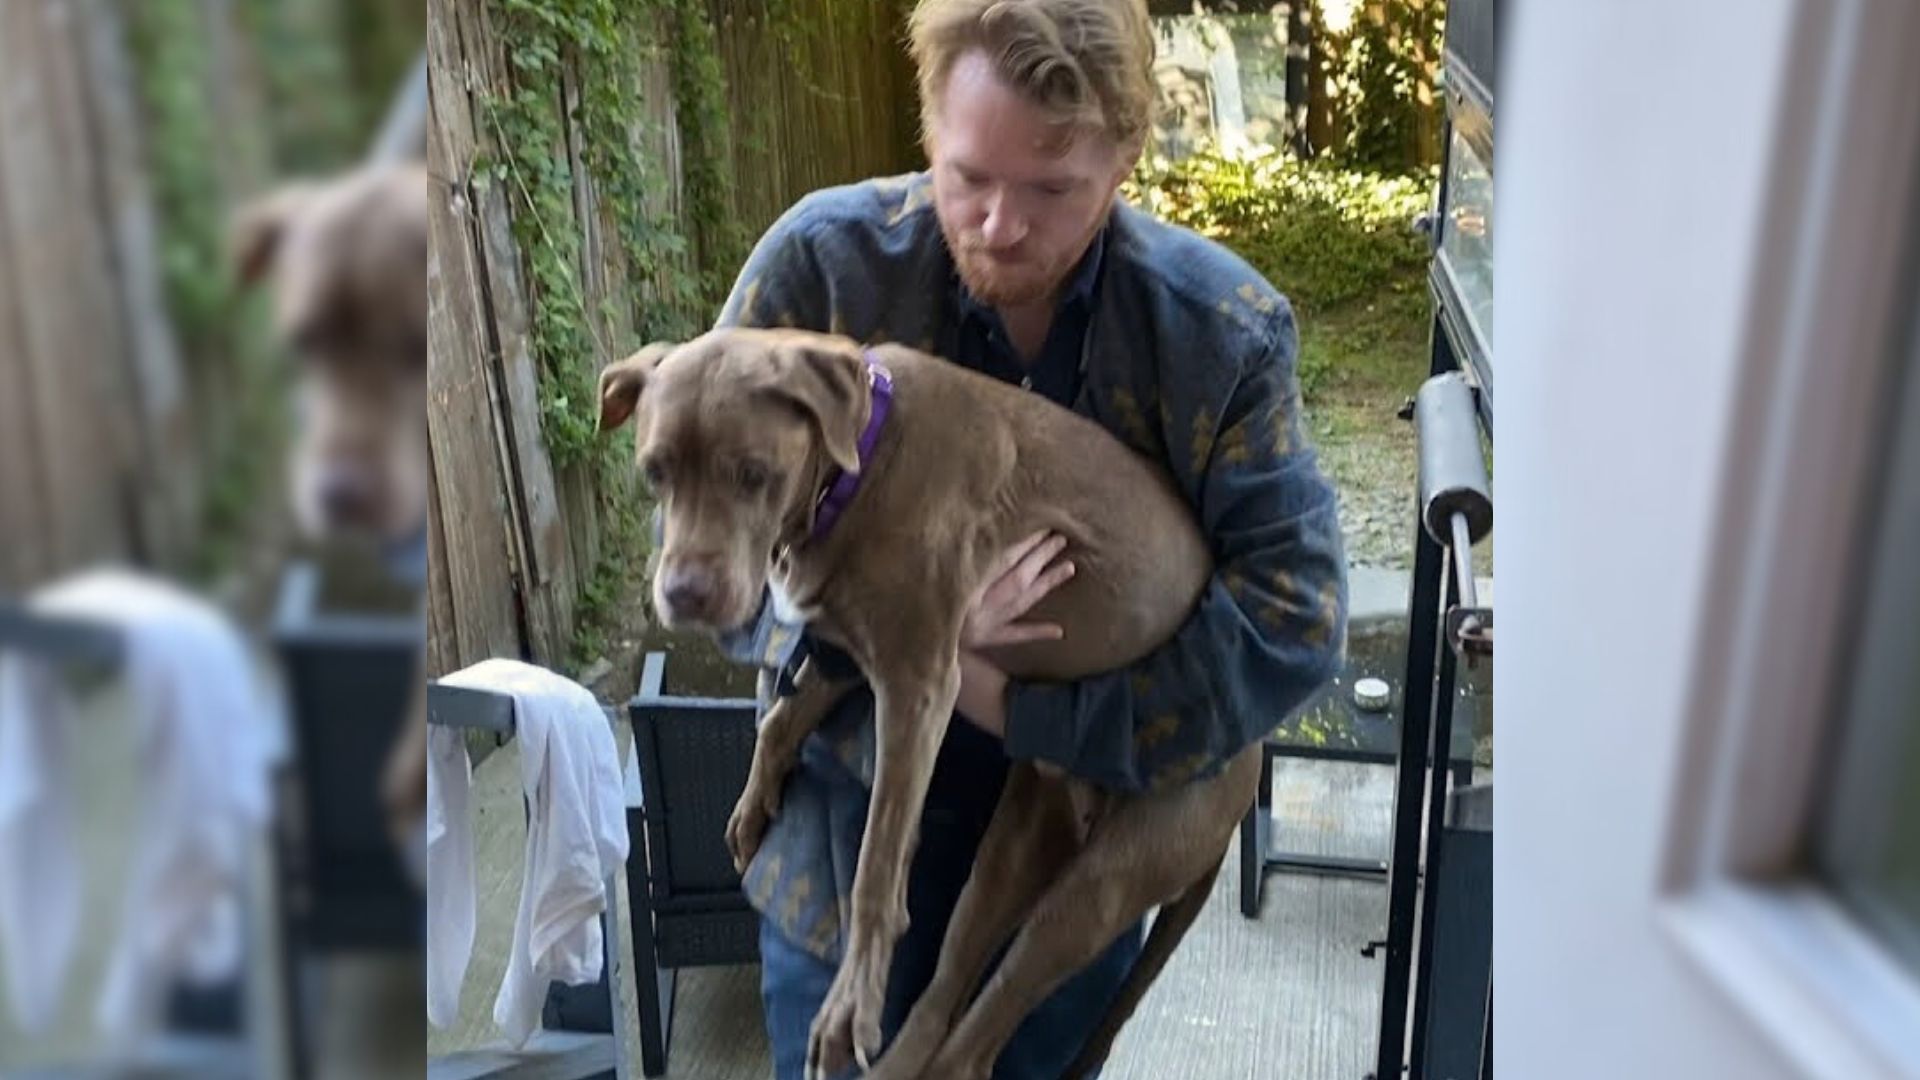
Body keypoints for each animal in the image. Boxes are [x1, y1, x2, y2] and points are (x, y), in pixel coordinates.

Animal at [595, 328, 1259, 1076]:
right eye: (655, 472)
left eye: (753, 473)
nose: (683, 595)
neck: (859, 467)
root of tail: (1256, 754)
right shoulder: (852, 642)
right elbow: (784, 716)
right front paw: (753, 803)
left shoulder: (918, 683)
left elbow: (877, 863)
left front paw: (849, 1005)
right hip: (1012, 849)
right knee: (943, 1002)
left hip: (1101, 887)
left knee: (976, 1039)